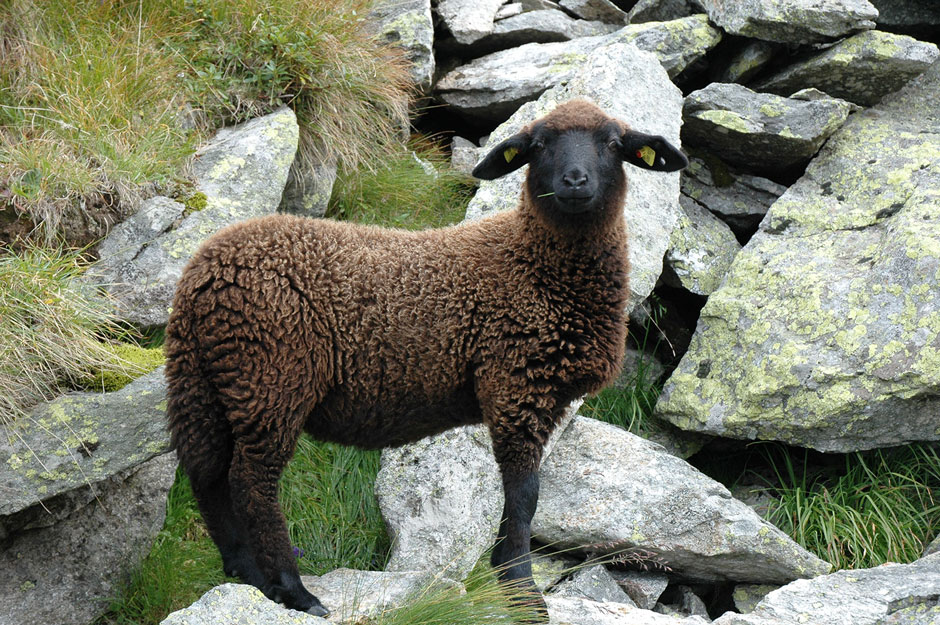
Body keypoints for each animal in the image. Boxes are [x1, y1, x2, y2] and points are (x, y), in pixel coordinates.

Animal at [165, 100, 688, 616]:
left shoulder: (539, 393)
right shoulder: (515, 383)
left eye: (614, 143)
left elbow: (523, 497)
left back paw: (247, 573)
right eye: (537, 145)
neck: (535, 266)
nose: (575, 181)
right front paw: (522, 592)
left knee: (208, 475)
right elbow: (524, 495)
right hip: (271, 377)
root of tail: (204, 273)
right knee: (251, 481)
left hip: (209, 383)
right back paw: (294, 591)